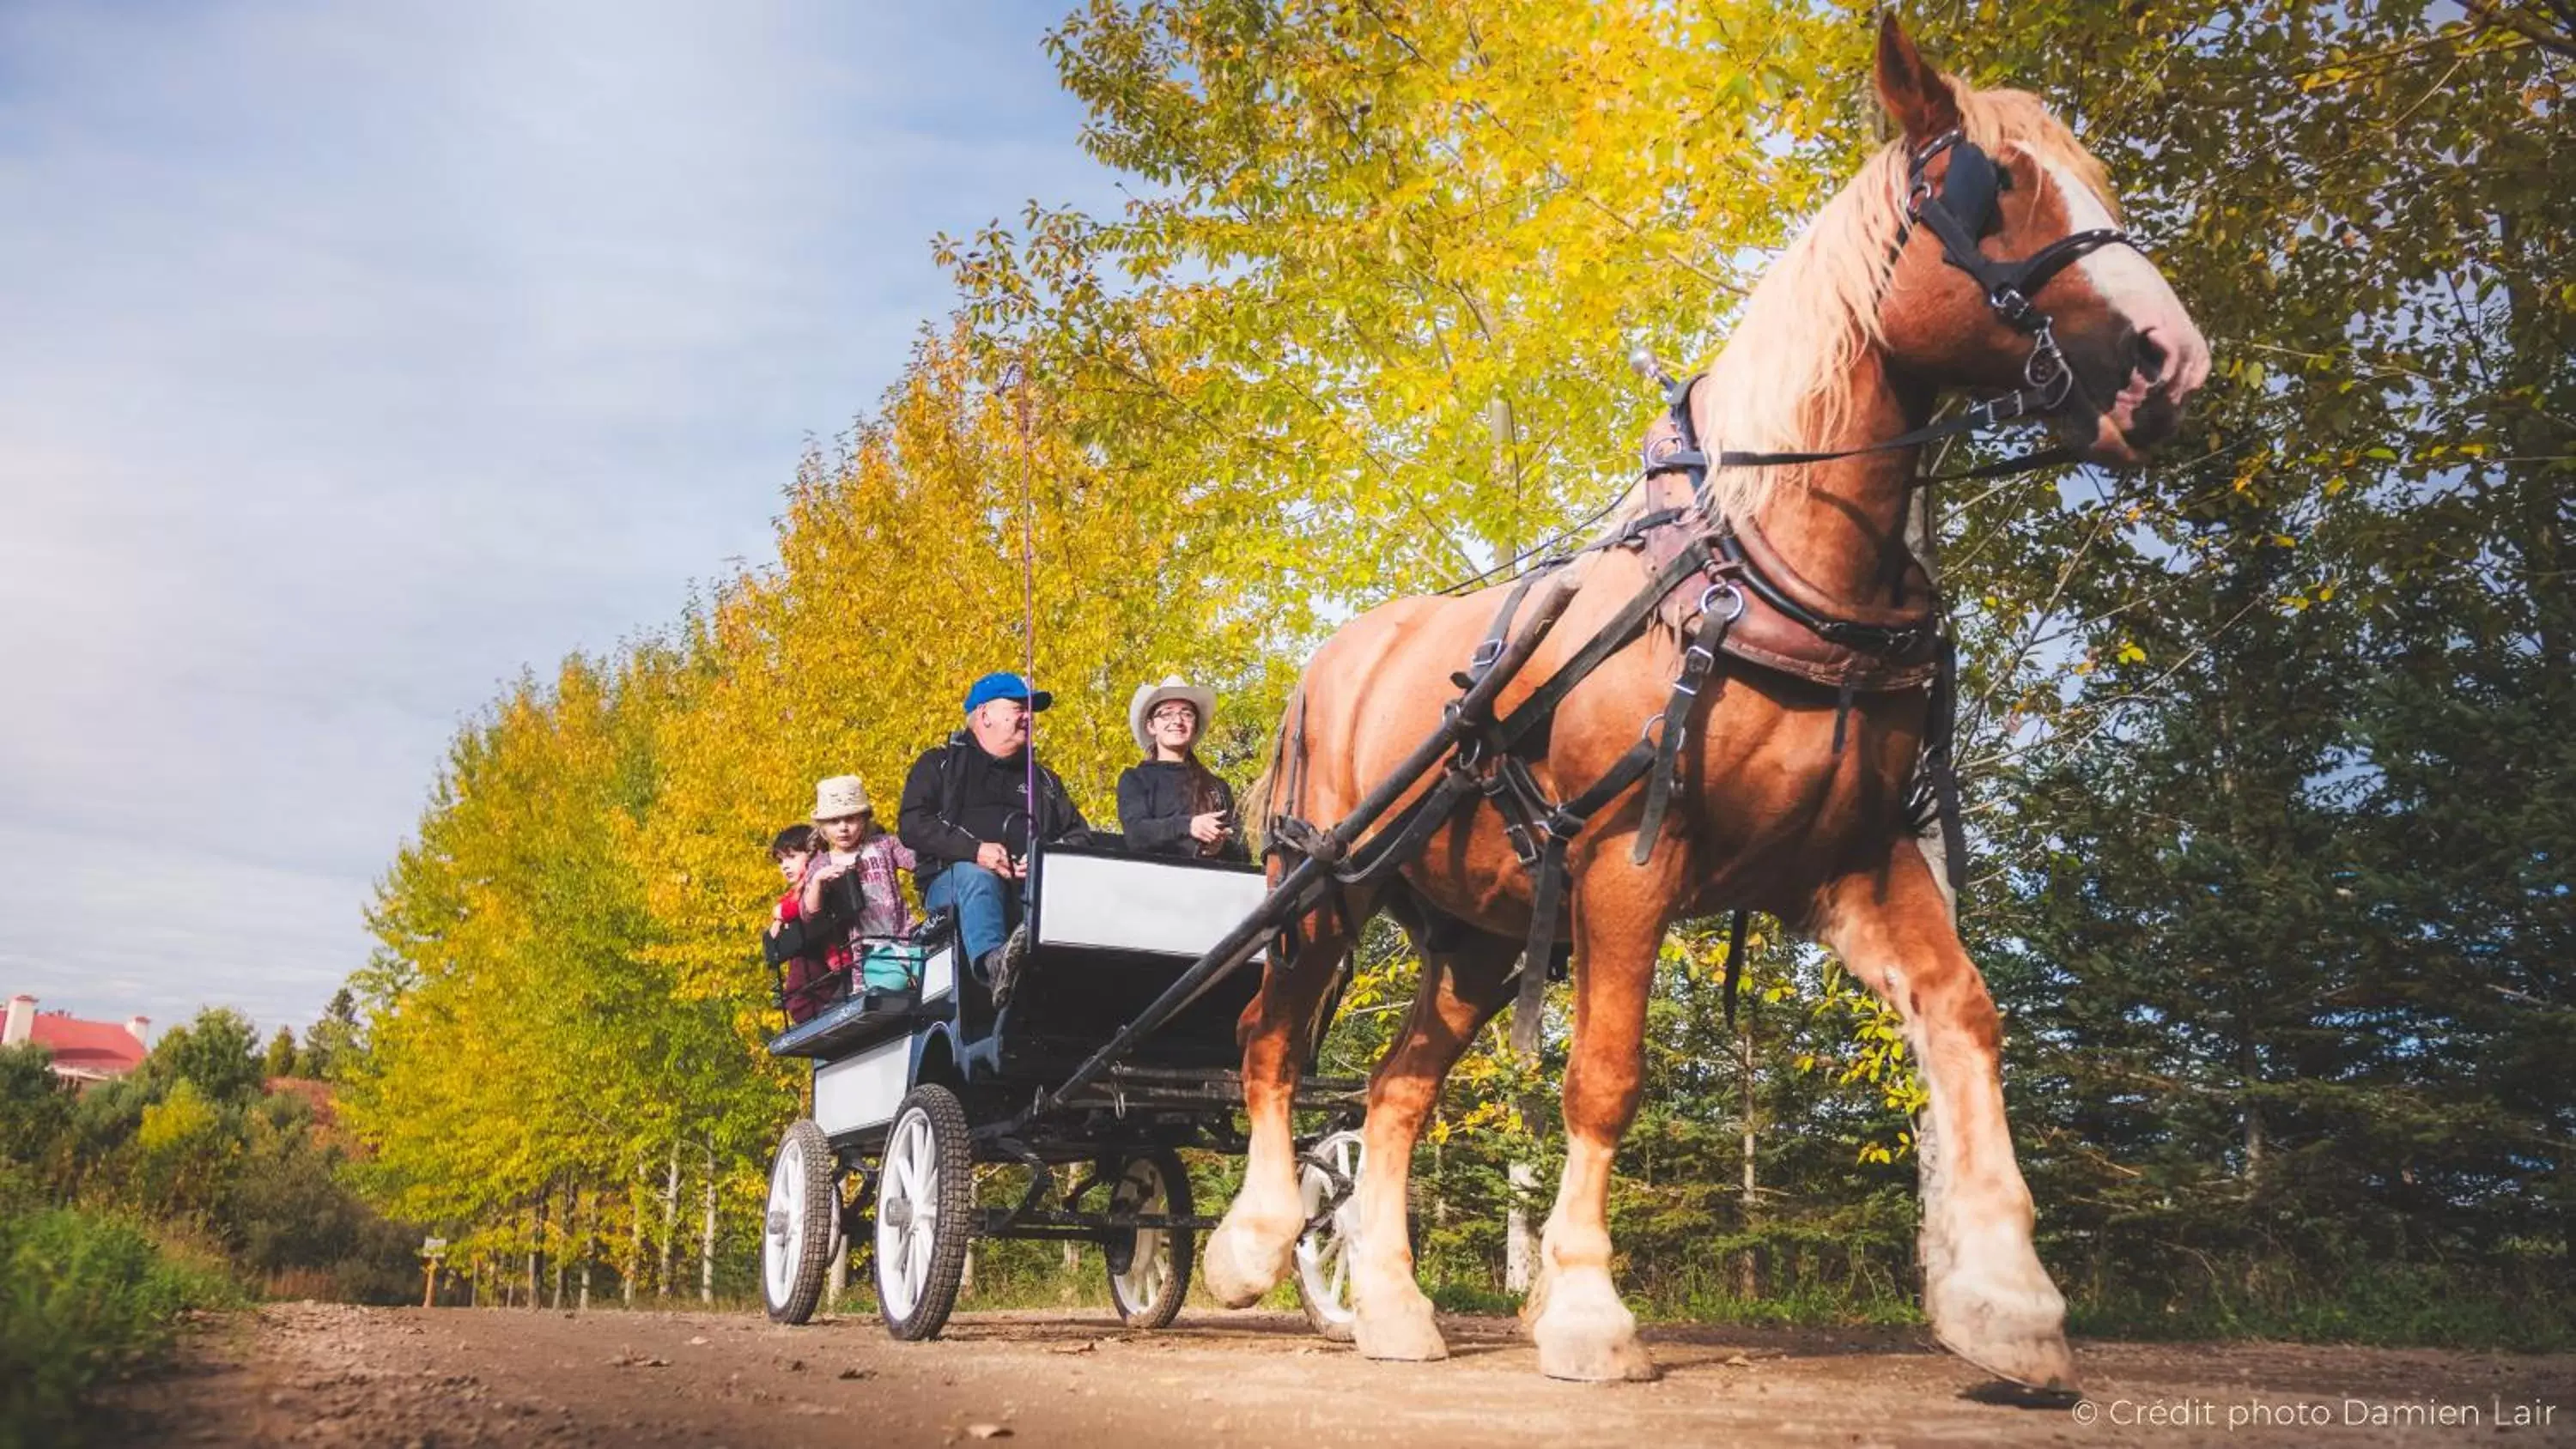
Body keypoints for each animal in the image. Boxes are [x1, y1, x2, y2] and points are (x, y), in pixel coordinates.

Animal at [1195, 14, 2205, 1390]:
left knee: (1396, 1090)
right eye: (1992, 185)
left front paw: (2008, 1299)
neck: (1760, 576)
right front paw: (1582, 1307)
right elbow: (1604, 1076)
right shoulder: (1633, 859)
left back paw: (1394, 1306)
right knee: (1269, 1042)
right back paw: (1249, 1245)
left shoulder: (1852, 861)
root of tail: (1338, 654)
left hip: (1474, 937)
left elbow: (1965, 1015)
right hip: (1323, 890)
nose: (2173, 360)